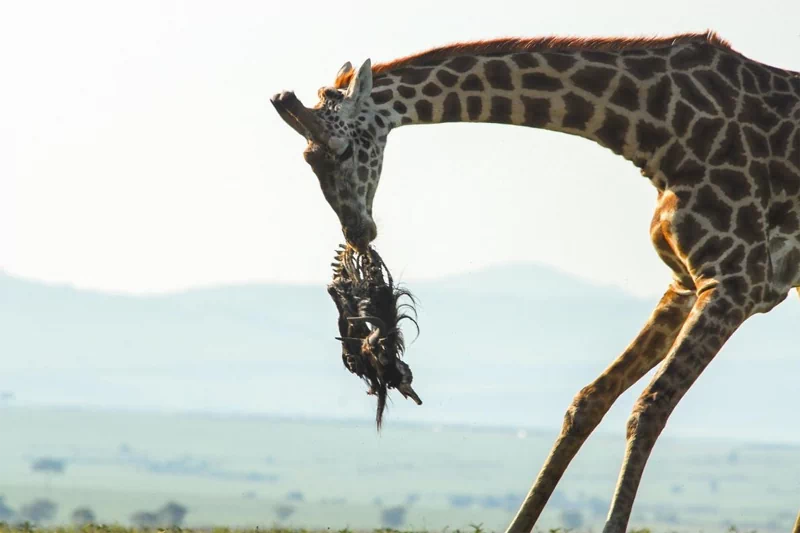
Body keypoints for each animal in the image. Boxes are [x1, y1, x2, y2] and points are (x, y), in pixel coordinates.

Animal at [270, 30, 800, 532]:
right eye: (308, 160)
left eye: (343, 150)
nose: (358, 231)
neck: (658, 133)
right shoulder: (685, 282)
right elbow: (589, 400)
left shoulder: (738, 282)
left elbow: (650, 406)